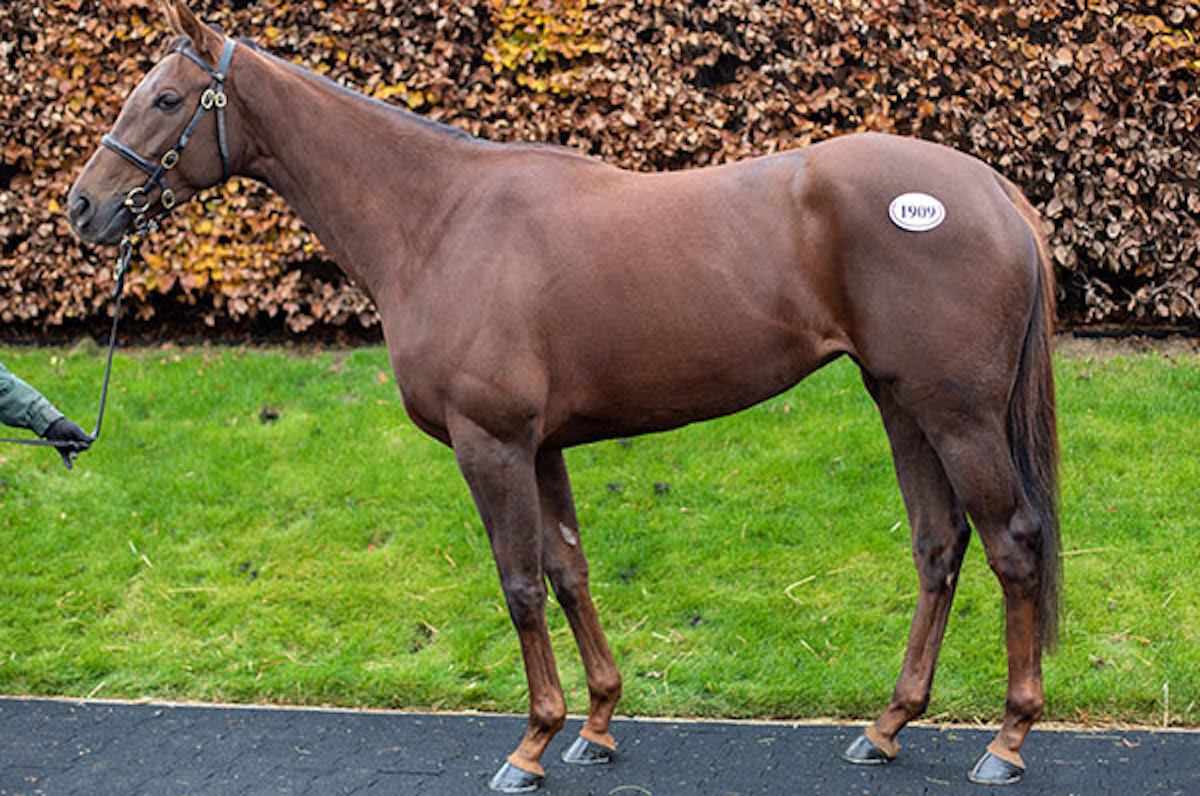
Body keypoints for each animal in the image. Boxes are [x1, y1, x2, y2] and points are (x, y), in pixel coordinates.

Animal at [68, 4, 1060, 792]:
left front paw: (532, 744)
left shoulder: (493, 442)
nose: (84, 208)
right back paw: (887, 728)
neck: (438, 221)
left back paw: (1008, 741)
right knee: (938, 547)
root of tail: (993, 190)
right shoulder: (542, 447)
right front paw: (596, 726)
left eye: (166, 100)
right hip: (902, 405)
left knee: (1012, 544)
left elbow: (518, 586)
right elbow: (568, 570)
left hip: (957, 414)